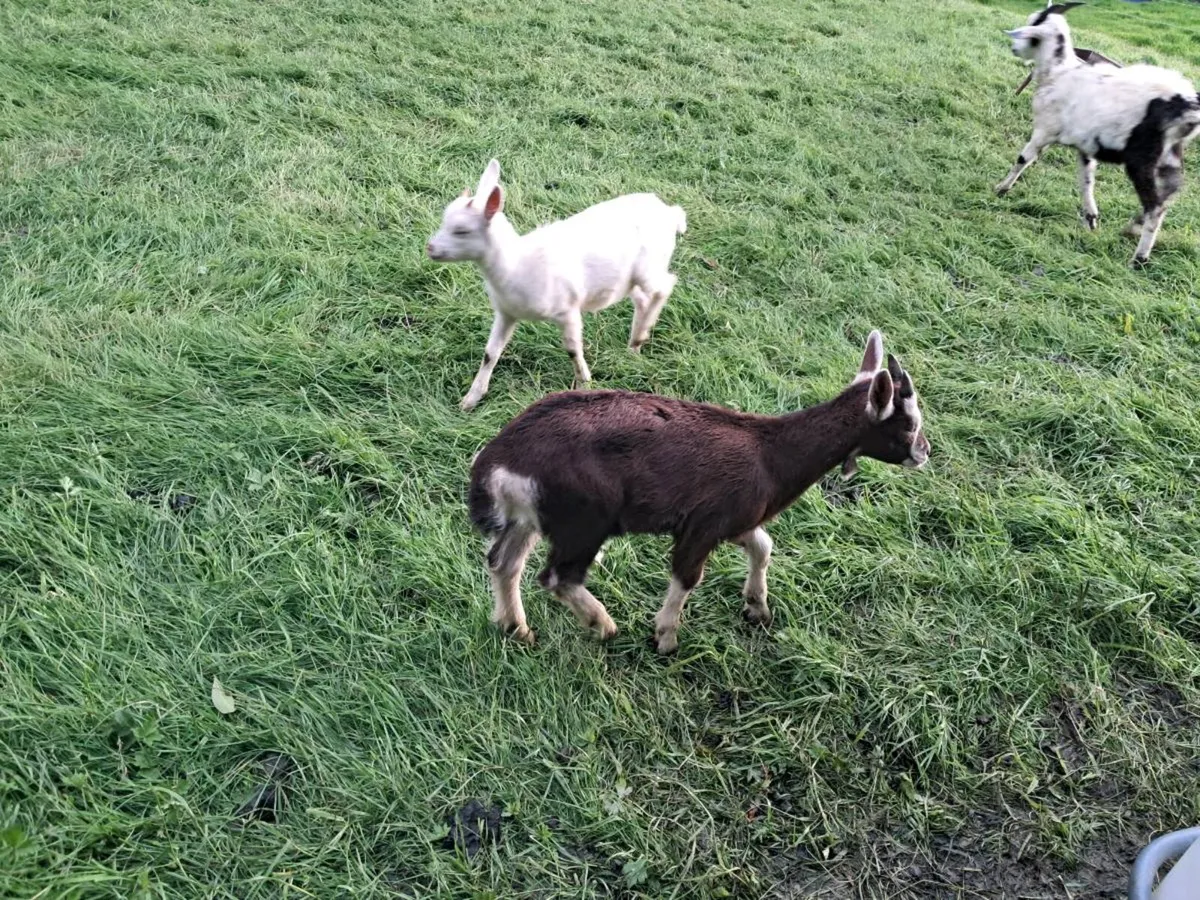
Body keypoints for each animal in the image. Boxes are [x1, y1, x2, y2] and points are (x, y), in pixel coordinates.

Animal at [427, 159, 687, 411]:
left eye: (462, 231)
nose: (430, 248)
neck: (516, 264)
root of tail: (670, 213)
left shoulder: (567, 308)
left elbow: (573, 349)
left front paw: (584, 384)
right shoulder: (506, 312)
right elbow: (490, 353)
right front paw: (470, 400)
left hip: (649, 266)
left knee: (664, 287)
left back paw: (641, 335)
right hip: (629, 279)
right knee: (643, 299)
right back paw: (634, 345)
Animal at [467, 330, 930, 654]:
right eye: (908, 423)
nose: (924, 452)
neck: (769, 455)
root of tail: (498, 460)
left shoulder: (737, 519)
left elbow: (763, 545)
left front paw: (756, 608)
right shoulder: (703, 524)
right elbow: (688, 576)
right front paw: (665, 638)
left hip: (529, 518)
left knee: (504, 563)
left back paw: (517, 628)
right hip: (584, 518)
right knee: (558, 576)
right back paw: (602, 625)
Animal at [995, 2, 1200, 265]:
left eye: (1033, 26)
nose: (1014, 48)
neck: (1058, 71)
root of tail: (1186, 105)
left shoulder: (1044, 130)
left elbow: (1023, 159)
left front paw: (1001, 188)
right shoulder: (1085, 148)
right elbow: (1086, 181)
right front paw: (1090, 219)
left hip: (1143, 158)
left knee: (1155, 206)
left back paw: (1139, 258)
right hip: (1169, 156)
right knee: (1168, 195)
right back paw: (1132, 228)